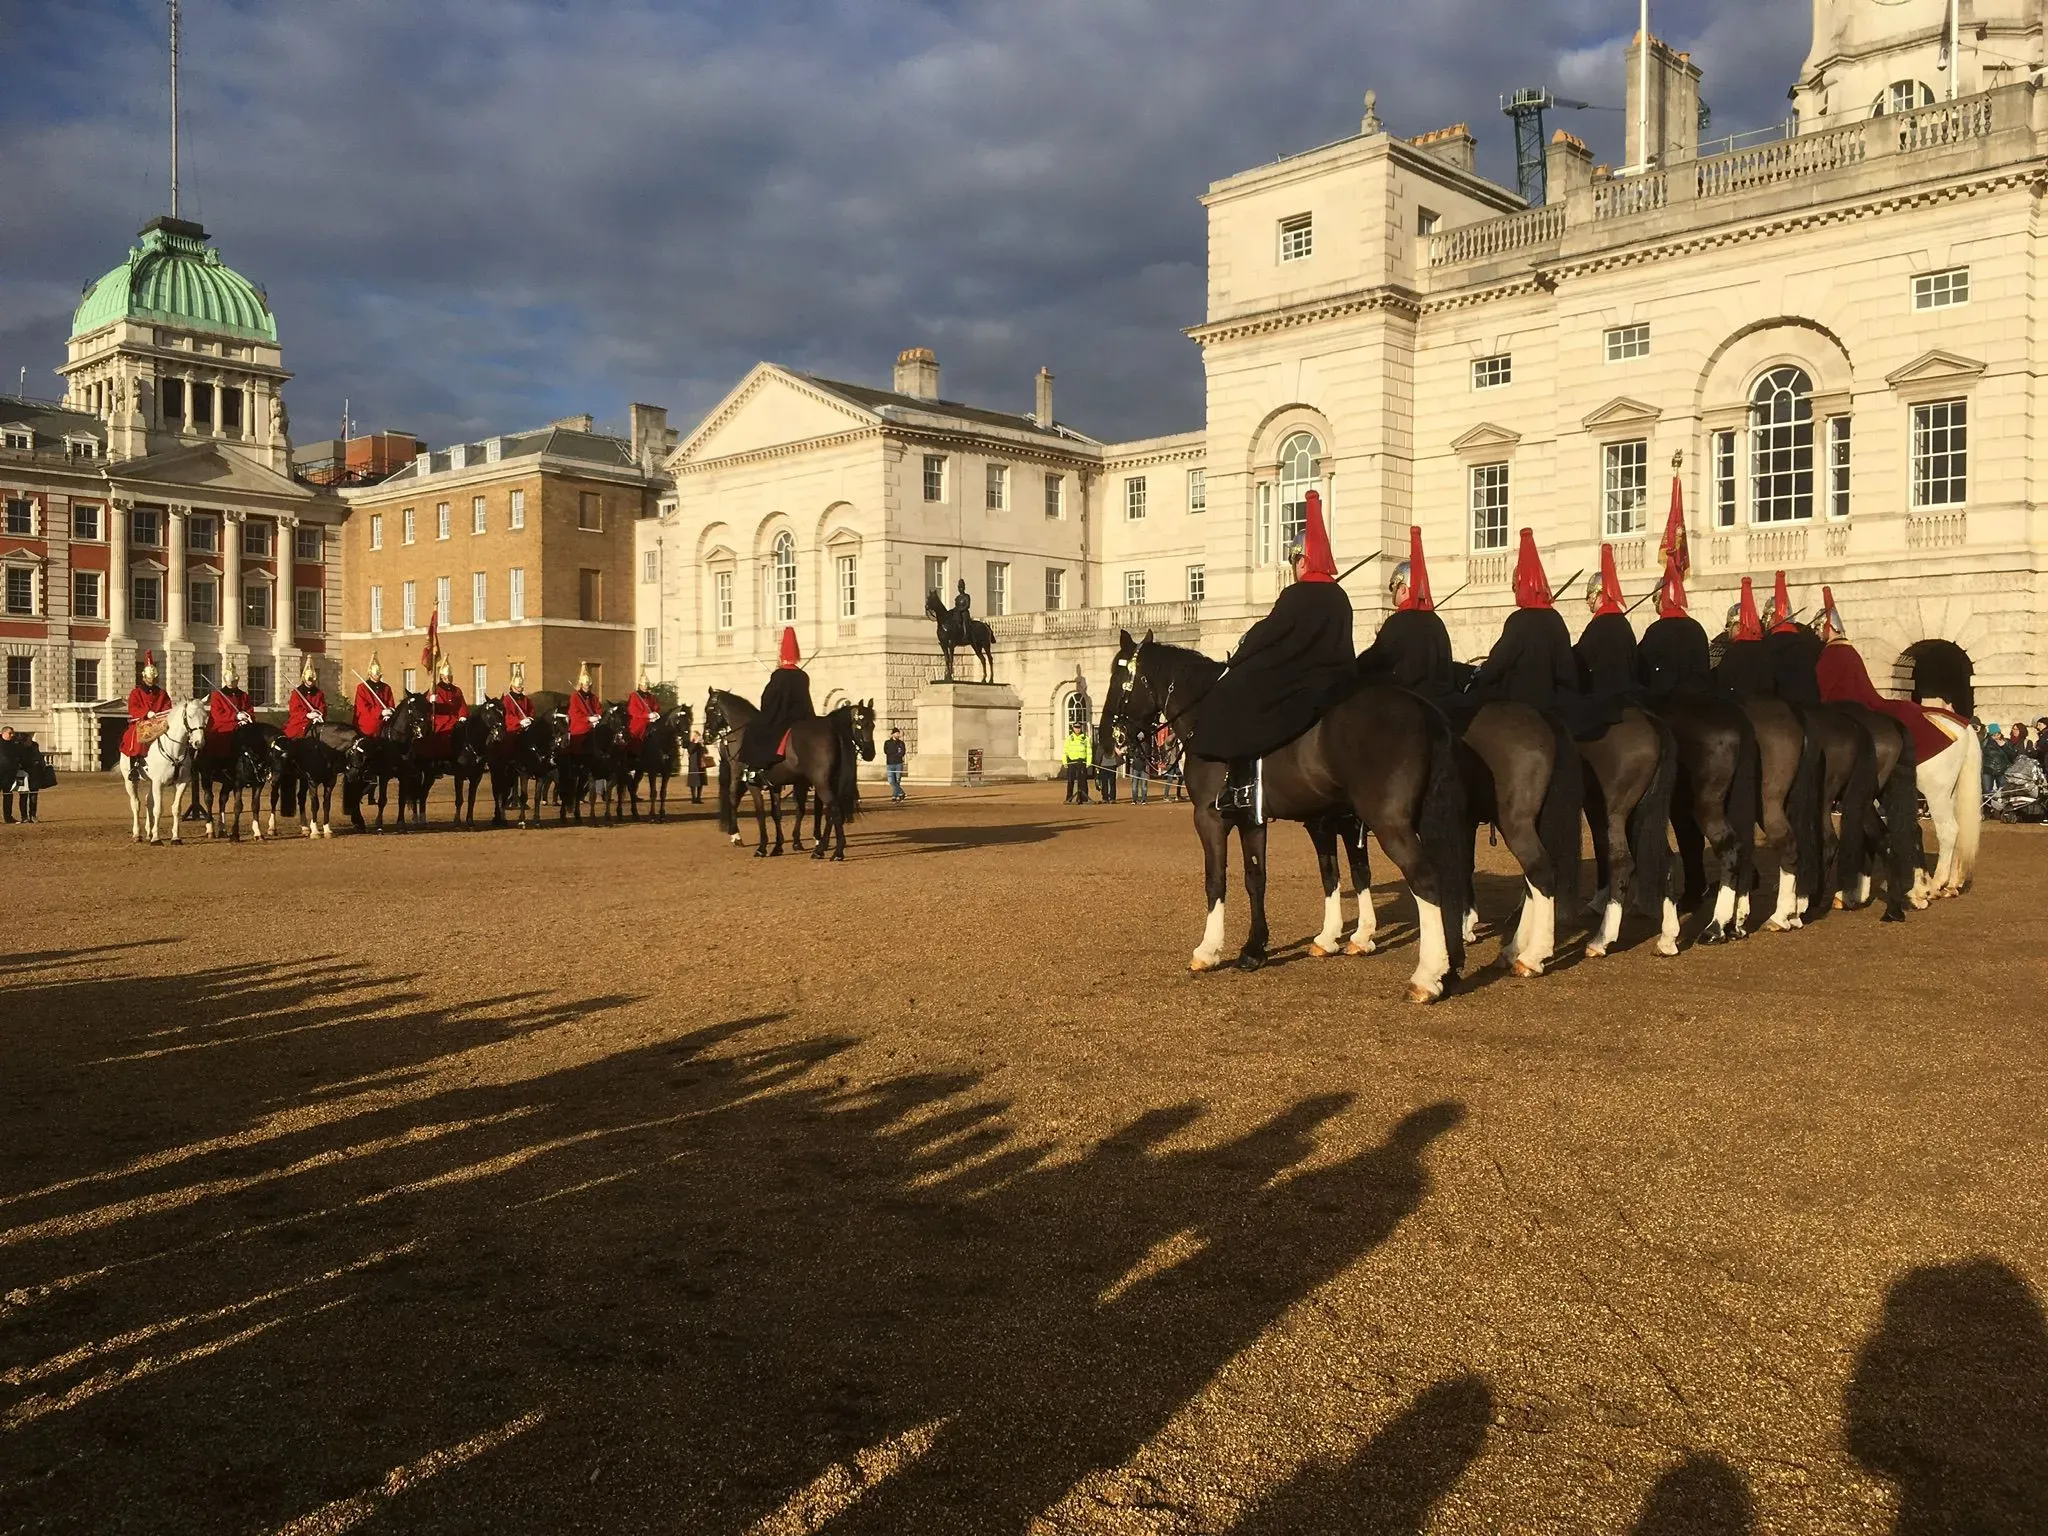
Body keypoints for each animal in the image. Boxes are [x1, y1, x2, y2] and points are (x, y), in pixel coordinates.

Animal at [121, 704, 207, 847]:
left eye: (206, 716)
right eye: (189, 716)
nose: (199, 742)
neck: (174, 750)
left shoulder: (182, 783)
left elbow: (176, 809)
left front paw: (176, 837)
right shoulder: (158, 783)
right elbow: (158, 809)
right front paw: (156, 838)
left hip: (151, 782)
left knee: (148, 801)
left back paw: (148, 833)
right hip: (130, 781)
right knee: (136, 804)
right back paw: (137, 834)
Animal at [1097, 630, 1466, 1003]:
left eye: (1117, 677)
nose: (1107, 740)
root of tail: (1424, 708)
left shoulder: (1210, 818)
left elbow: (1216, 880)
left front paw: (1208, 951)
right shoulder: (1252, 819)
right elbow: (1256, 879)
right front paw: (1254, 950)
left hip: (1389, 824)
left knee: (1425, 880)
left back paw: (1426, 976)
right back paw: (1445, 965)